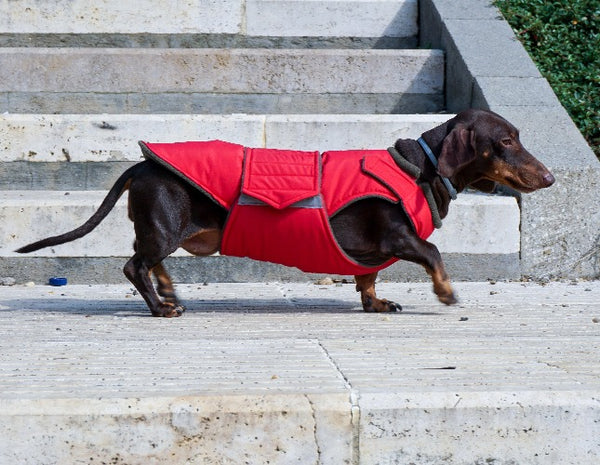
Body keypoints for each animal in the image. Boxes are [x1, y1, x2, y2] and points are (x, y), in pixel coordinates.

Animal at [16, 109, 556, 316]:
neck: (419, 166)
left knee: (150, 264)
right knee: (134, 266)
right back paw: (161, 306)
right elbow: (433, 251)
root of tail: (143, 163)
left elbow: (368, 280)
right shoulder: (397, 236)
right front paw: (445, 291)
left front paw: (377, 303)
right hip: (163, 226)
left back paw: (168, 292)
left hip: (165, 230)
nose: (551, 178)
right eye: (506, 142)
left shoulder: (370, 255)